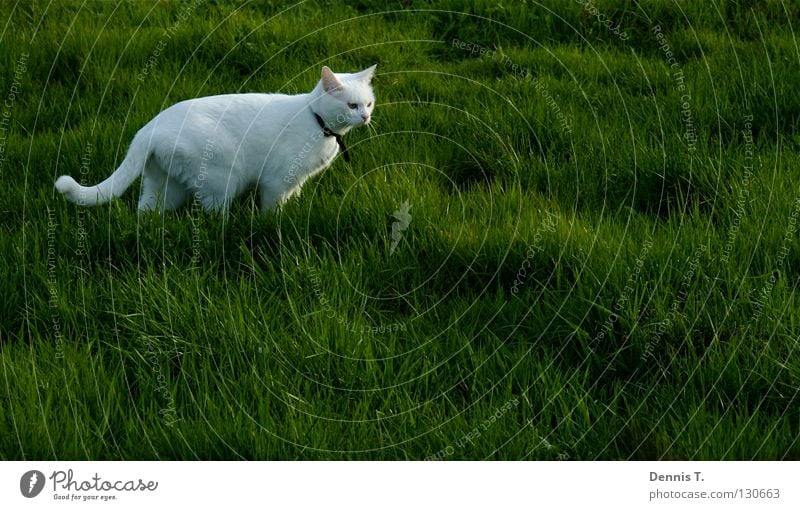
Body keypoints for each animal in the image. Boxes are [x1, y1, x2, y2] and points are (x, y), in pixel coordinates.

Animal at [56, 65, 376, 213]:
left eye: (369, 104)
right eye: (351, 106)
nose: (365, 117)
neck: (317, 121)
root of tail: (148, 129)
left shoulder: (295, 181)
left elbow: (293, 197)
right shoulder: (276, 181)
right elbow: (272, 210)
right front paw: (275, 223)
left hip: (163, 185)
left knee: (146, 211)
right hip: (221, 180)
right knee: (212, 216)